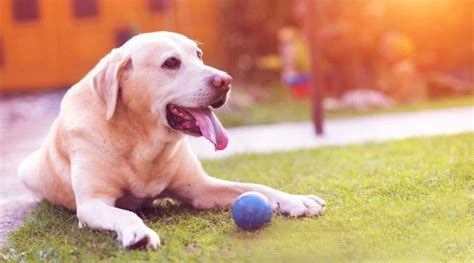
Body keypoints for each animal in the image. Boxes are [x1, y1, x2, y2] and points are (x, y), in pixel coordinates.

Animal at [16, 32, 324, 251]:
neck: (141, 139)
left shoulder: (200, 188)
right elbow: (126, 215)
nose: (226, 80)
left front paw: (296, 200)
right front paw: (139, 233)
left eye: (198, 55)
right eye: (171, 63)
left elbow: (256, 186)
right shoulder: (93, 204)